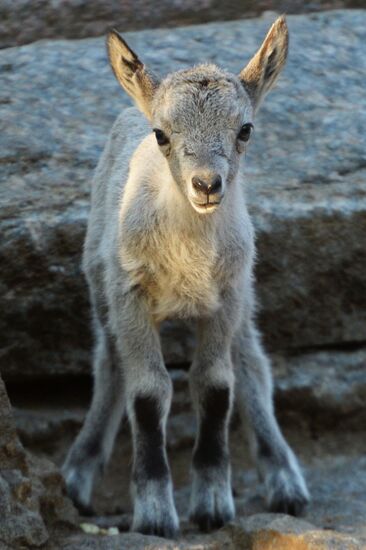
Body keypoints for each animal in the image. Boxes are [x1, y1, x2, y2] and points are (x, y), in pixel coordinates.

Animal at [62, 16, 308, 540]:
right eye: (161, 134)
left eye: (245, 129)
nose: (206, 185)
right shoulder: (129, 295)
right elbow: (147, 392)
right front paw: (155, 514)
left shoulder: (228, 295)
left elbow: (215, 385)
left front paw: (213, 504)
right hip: (100, 284)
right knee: (110, 365)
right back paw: (78, 476)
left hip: (244, 295)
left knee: (252, 363)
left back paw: (285, 480)